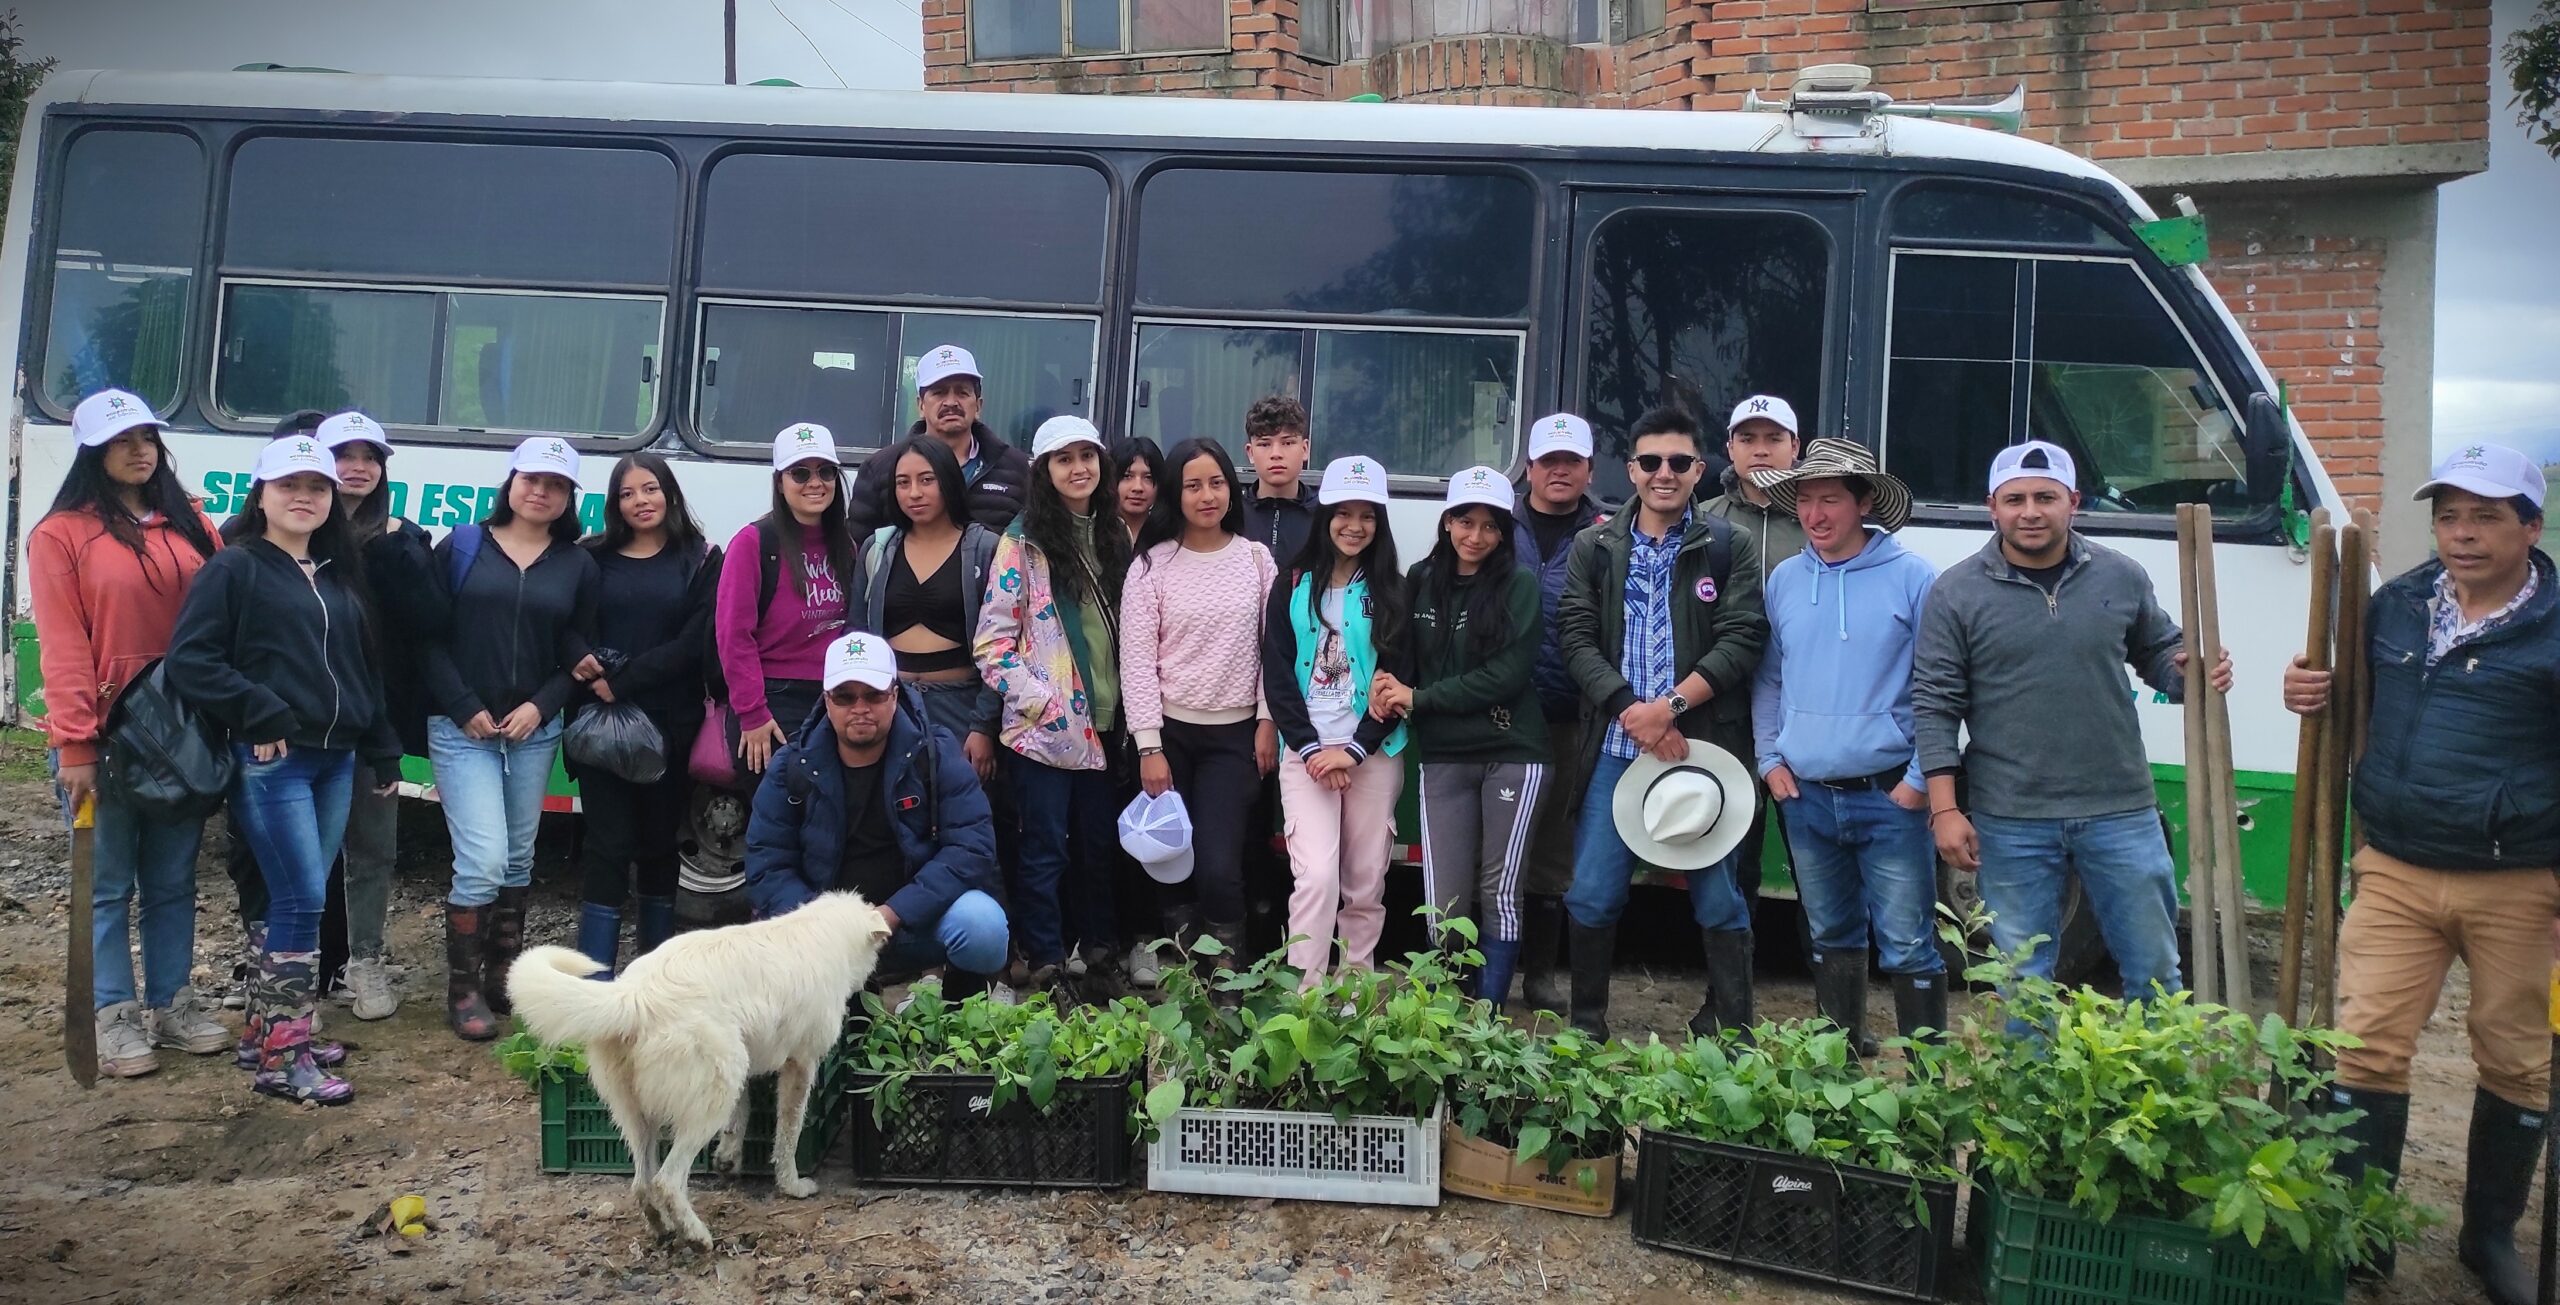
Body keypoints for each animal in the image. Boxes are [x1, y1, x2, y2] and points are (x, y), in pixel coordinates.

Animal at [506, 890, 890, 1248]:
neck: (820, 932)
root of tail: (634, 995)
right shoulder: (800, 1065)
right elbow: (788, 1133)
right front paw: (792, 1185)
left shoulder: (745, 1067)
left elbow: (740, 1117)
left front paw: (728, 1160)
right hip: (707, 1104)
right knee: (667, 1180)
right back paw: (696, 1235)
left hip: (650, 1111)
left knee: (642, 1184)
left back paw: (663, 1229)